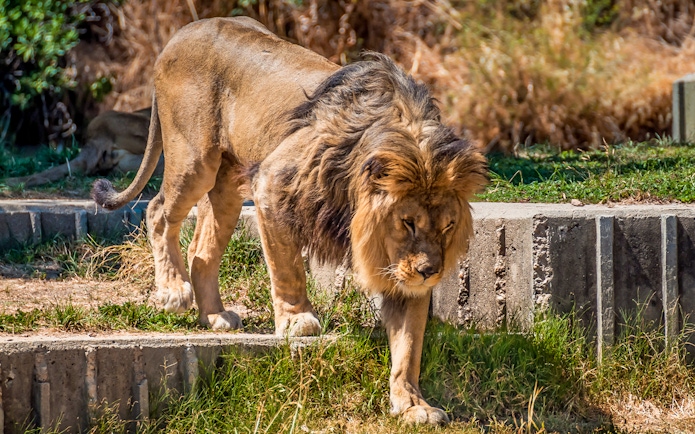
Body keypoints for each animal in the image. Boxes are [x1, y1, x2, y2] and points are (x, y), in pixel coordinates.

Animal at [92, 17, 487, 425]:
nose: (430, 273)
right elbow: (288, 268)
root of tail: (181, 33)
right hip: (194, 160)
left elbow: (409, 345)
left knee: (201, 251)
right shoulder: (272, 183)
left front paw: (412, 404)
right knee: (157, 211)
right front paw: (299, 321)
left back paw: (214, 316)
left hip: (228, 185)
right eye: (407, 222)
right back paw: (173, 290)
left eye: (447, 227)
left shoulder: (399, 269)